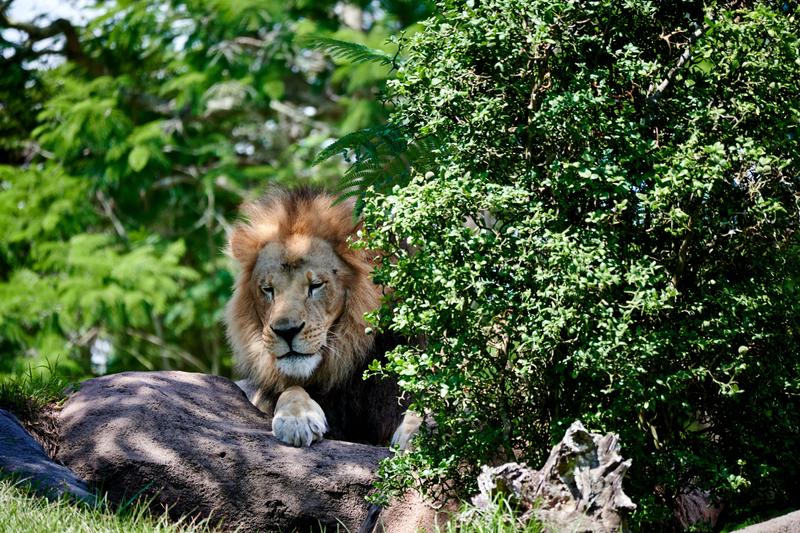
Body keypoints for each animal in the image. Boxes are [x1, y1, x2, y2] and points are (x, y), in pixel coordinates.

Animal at [225, 189, 422, 446]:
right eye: (267, 289)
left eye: (316, 285)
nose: (286, 331)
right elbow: (292, 390)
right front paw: (297, 419)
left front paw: (418, 432)